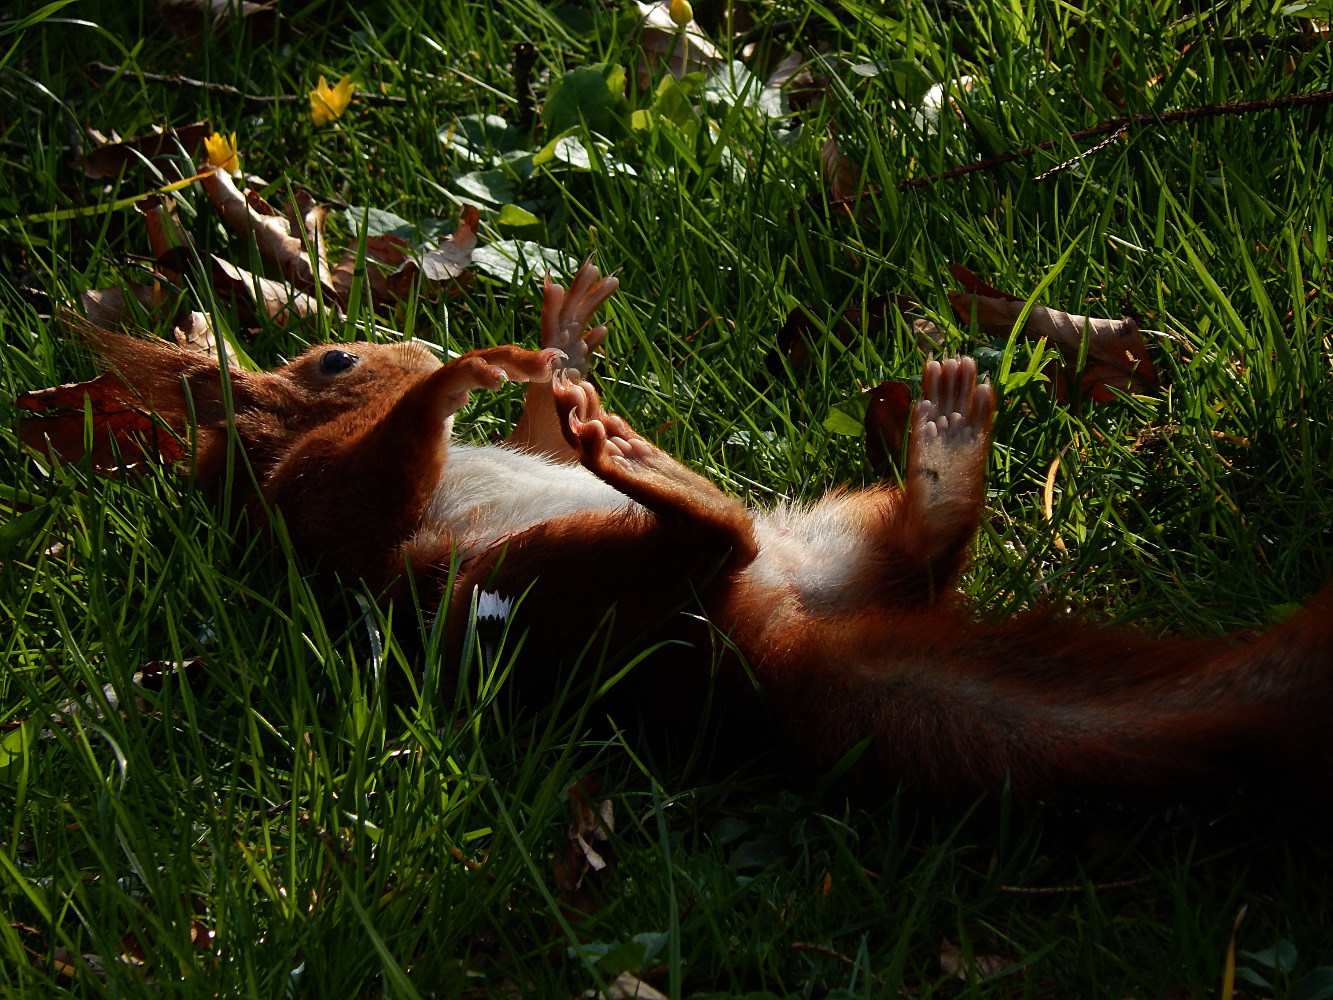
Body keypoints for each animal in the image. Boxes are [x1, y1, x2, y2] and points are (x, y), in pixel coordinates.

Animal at [18, 264, 1333, 805]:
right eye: (334, 356)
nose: (398, 342)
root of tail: (770, 661)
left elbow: (538, 430)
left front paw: (558, 339)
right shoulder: (331, 512)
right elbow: (386, 462)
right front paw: (459, 371)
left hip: (822, 534)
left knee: (912, 547)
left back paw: (942, 446)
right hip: (557, 583)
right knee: (719, 541)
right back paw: (656, 472)